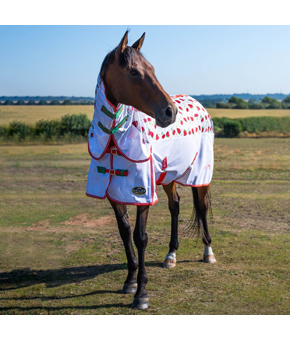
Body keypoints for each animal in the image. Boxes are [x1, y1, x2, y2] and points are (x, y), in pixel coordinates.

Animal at [86, 30, 215, 310]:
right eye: (134, 72)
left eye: (153, 69)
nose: (170, 112)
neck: (114, 138)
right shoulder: (115, 194)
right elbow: (125, 233)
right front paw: (130, 281)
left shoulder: (142, 192)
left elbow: (140, 236)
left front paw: (141, 293)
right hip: (168, 177)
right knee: (175, 206)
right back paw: (171, 255)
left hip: (200, 177)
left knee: (201, 208)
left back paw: (208, 252)